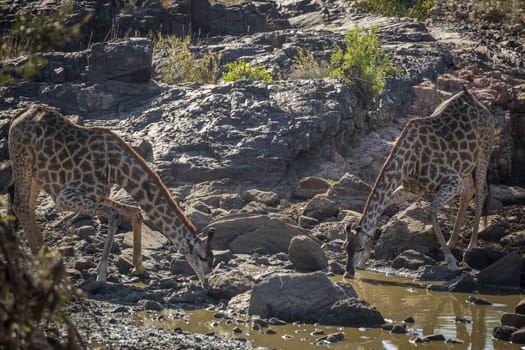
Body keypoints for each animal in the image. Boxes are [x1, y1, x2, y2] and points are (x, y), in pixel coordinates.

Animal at [8, 104, 214, 288]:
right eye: (203, 257)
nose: (207, 283)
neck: (116, 169)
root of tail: (18, 116)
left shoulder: (99, 195)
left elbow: (135, 212)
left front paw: (140, 270)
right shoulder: (66, 196)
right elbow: (115, 215)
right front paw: (101, 275)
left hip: (37, 174)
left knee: (28, 207)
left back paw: (47, 257)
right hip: (22, 160)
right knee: (20, 206)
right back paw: (38, 260)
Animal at [344, 87, 496, 278]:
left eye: (359, 247)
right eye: (345, 248)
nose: (348, 273)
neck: (408, 162)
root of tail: (477, 101)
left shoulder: (452, 181)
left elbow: (430, 212)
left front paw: (452, 262)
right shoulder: (412, 190)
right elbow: (384, 205)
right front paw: (364, 261)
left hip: (484, 149)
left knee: (481, 191)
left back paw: (471, 245)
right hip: (465, 165)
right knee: (469, 191)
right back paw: (452, 242)